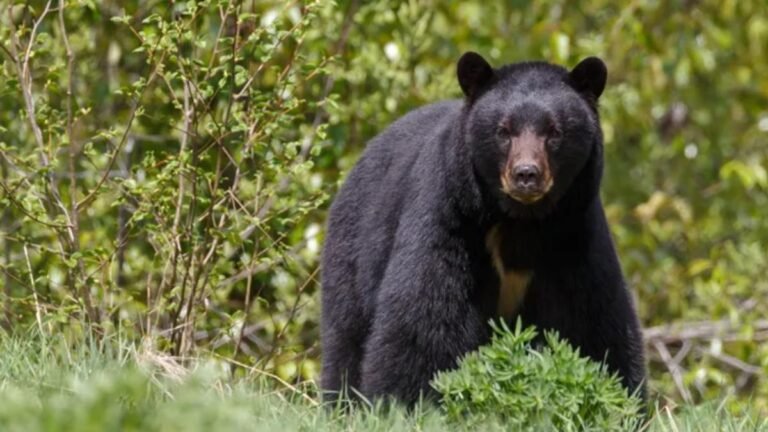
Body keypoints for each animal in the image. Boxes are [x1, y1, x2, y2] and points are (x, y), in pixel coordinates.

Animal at [320, 52, 646, 406]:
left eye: (554, 131)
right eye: (504, 131)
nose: (526, 174)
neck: (521, 221)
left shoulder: (573, 234)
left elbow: (593, 321)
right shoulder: (450, 217)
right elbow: (425, 315)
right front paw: (404, 402)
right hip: (354, 247)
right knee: (346, 335)